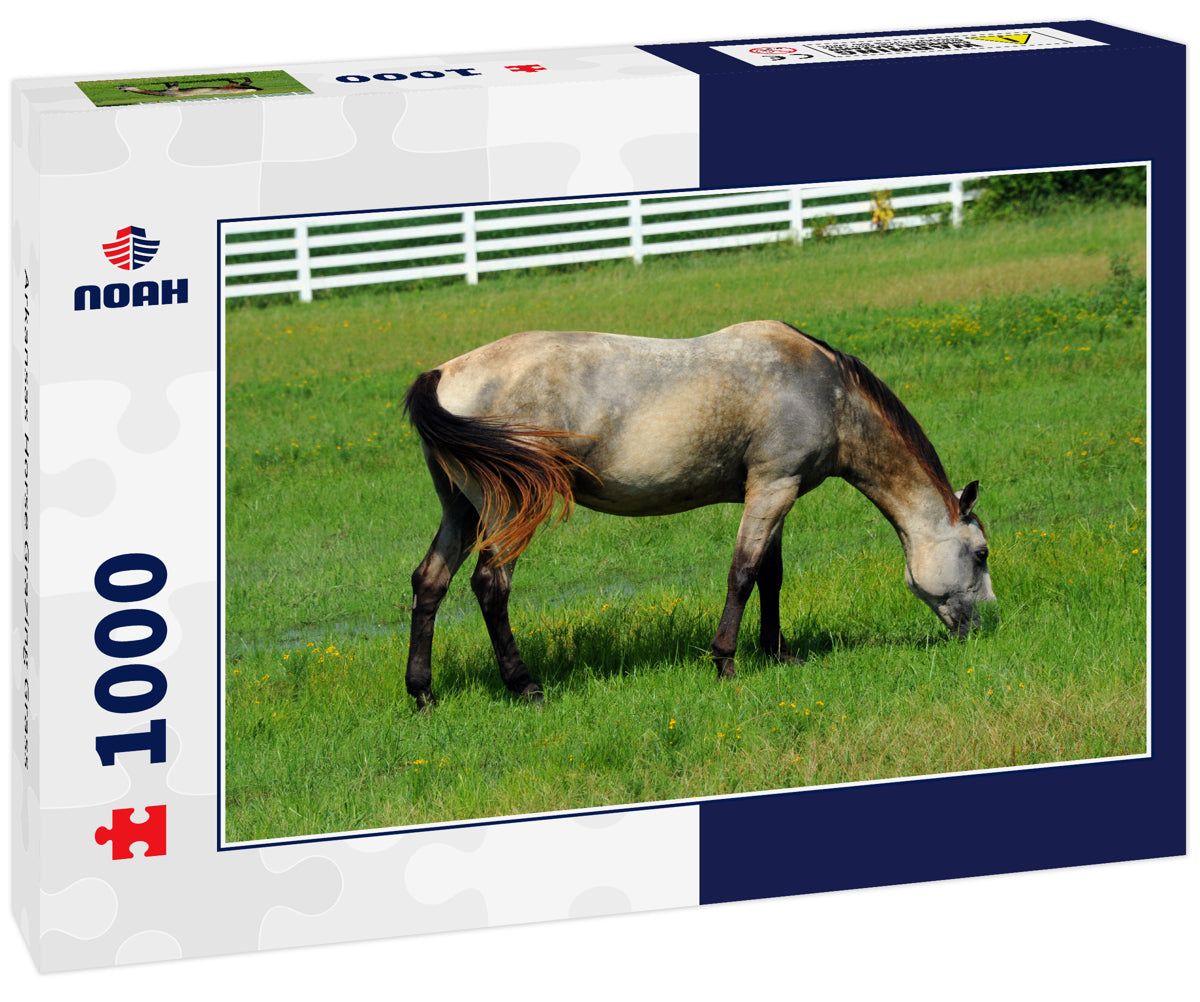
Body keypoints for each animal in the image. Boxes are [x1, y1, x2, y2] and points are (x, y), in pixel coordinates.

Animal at [403, 320, 995, 710]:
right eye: (982, 554)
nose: (987, 624)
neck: (827, 392)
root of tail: (443, 373)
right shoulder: (773, 488)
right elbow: (743, 574)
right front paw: (726, 662)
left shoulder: (776, 493)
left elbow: (771, 577)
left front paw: (779, 653)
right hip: (507, 513)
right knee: (490, 586)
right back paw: (524, 685)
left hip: (461, 510)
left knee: (430, 581)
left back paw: (422, 693)